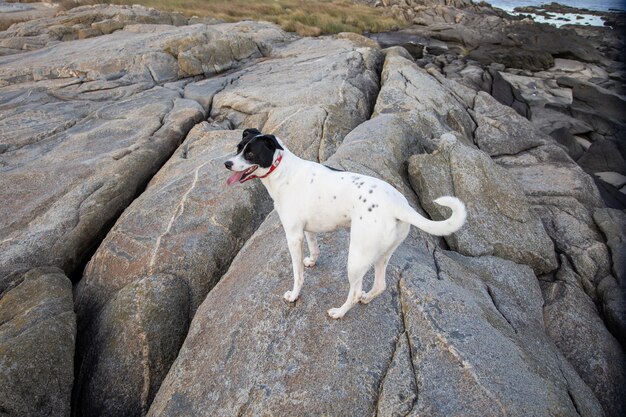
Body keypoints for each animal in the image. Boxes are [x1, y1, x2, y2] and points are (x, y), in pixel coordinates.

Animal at [224, 128, 464, 316]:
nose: (227, 163)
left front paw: (294, 295)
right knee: (380, 285)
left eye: (250, 153)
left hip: (356, 257)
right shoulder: (307, 230)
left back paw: (339, 312)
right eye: (238, 148)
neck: (282, 170)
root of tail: (400, 205)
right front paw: (312, 260)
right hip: (381, 254)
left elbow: (297, 275)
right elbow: (315, 249)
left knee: (355, 290)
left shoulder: (293, 236)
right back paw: (366, 299)